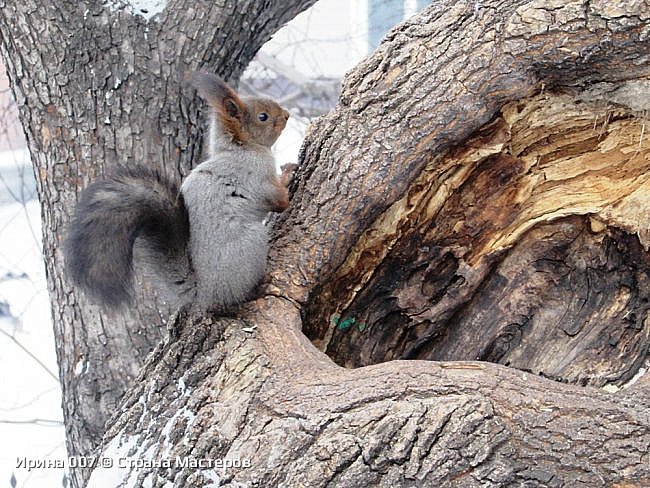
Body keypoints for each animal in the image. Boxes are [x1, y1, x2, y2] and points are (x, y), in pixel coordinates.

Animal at [63, 72, 292, 312]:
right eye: (263, 116)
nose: (287, 115)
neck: (240, 148)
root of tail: (205, 294)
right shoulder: (258, 175)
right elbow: (279, 201)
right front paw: (288, 173)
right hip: (252, 242)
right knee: (236, 298)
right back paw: (257, 289)